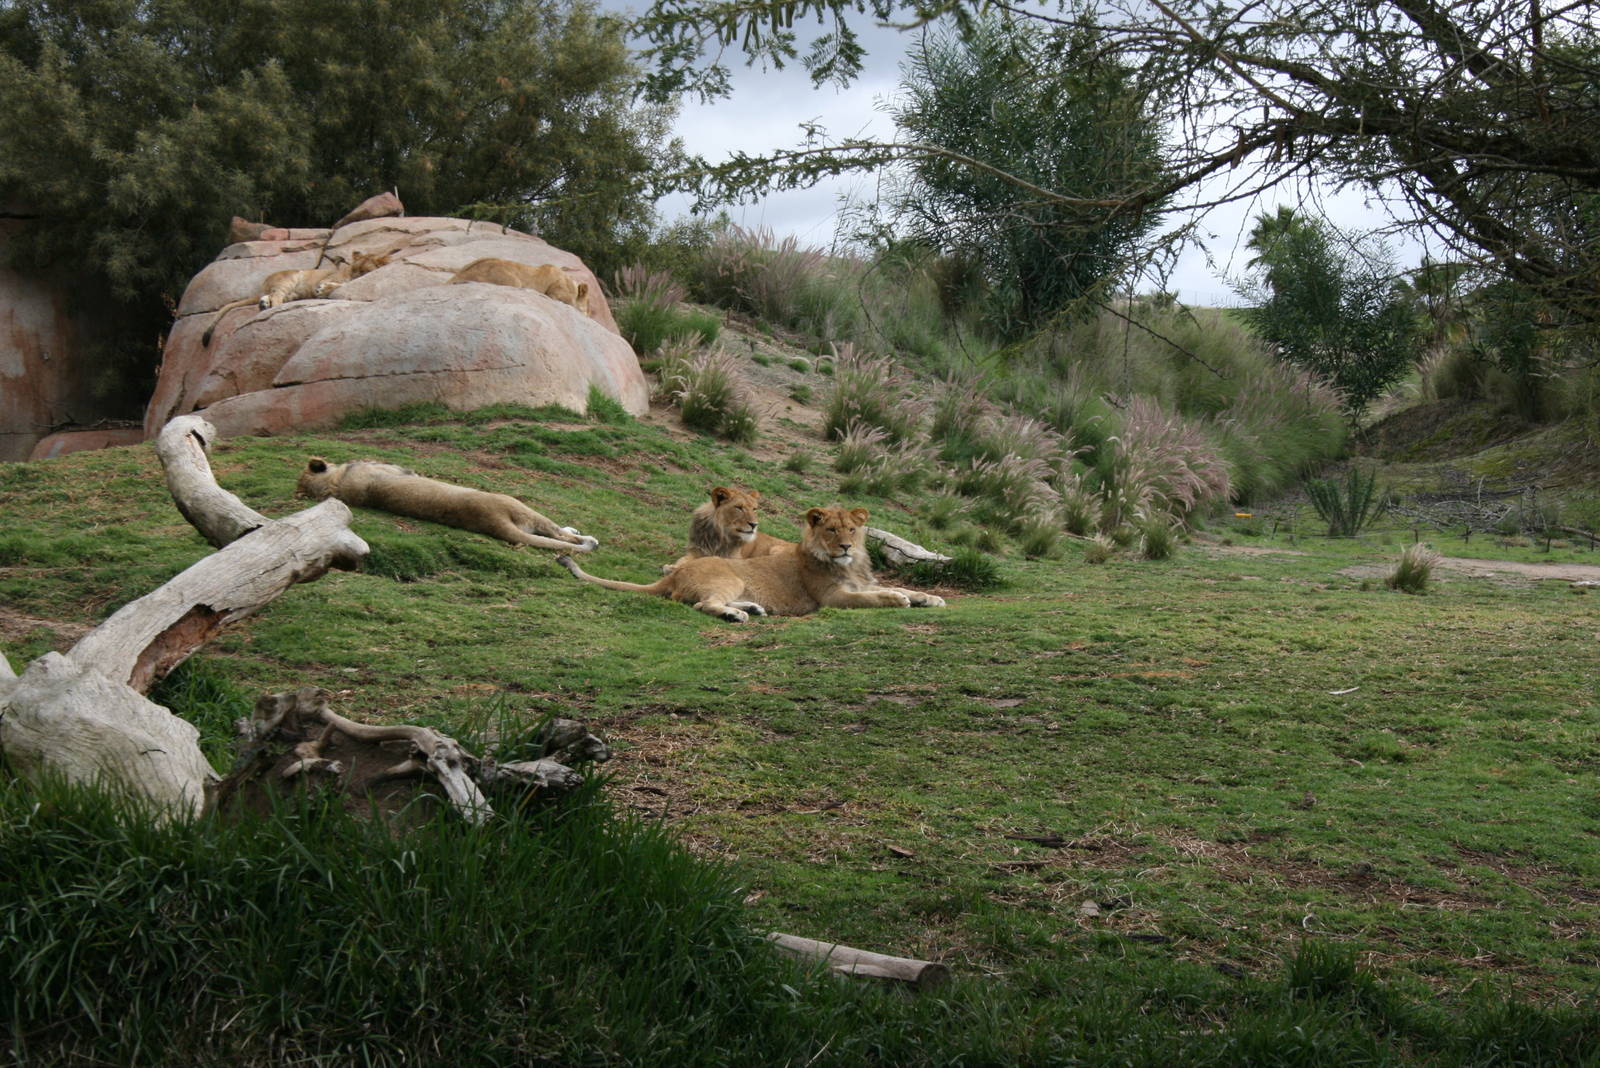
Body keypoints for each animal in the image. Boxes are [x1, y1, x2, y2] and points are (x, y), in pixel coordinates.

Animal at [202, 250, 391, 346]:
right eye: (354, 269)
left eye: (364, 271)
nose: (354, 277)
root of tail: (265, 281)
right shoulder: (325, 279)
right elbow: (335, 285)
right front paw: (324, 289)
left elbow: (340, 286)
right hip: (289, 279)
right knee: (276, 296)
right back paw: (273, 307)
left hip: (293, 292)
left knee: (270, 296)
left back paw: (264, 304)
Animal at [558, 506, 945, 623]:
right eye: (832, 530)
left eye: (851, 528)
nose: (847, 545)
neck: (849, 564)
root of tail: (676, 574)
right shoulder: (833, 598)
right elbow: (874, 597)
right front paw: (898, 600)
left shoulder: (863, 581)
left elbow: (898, 585)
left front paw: (930, 597)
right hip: (727, 578)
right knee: (703, 604)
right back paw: (736, 615)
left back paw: (752, 608)